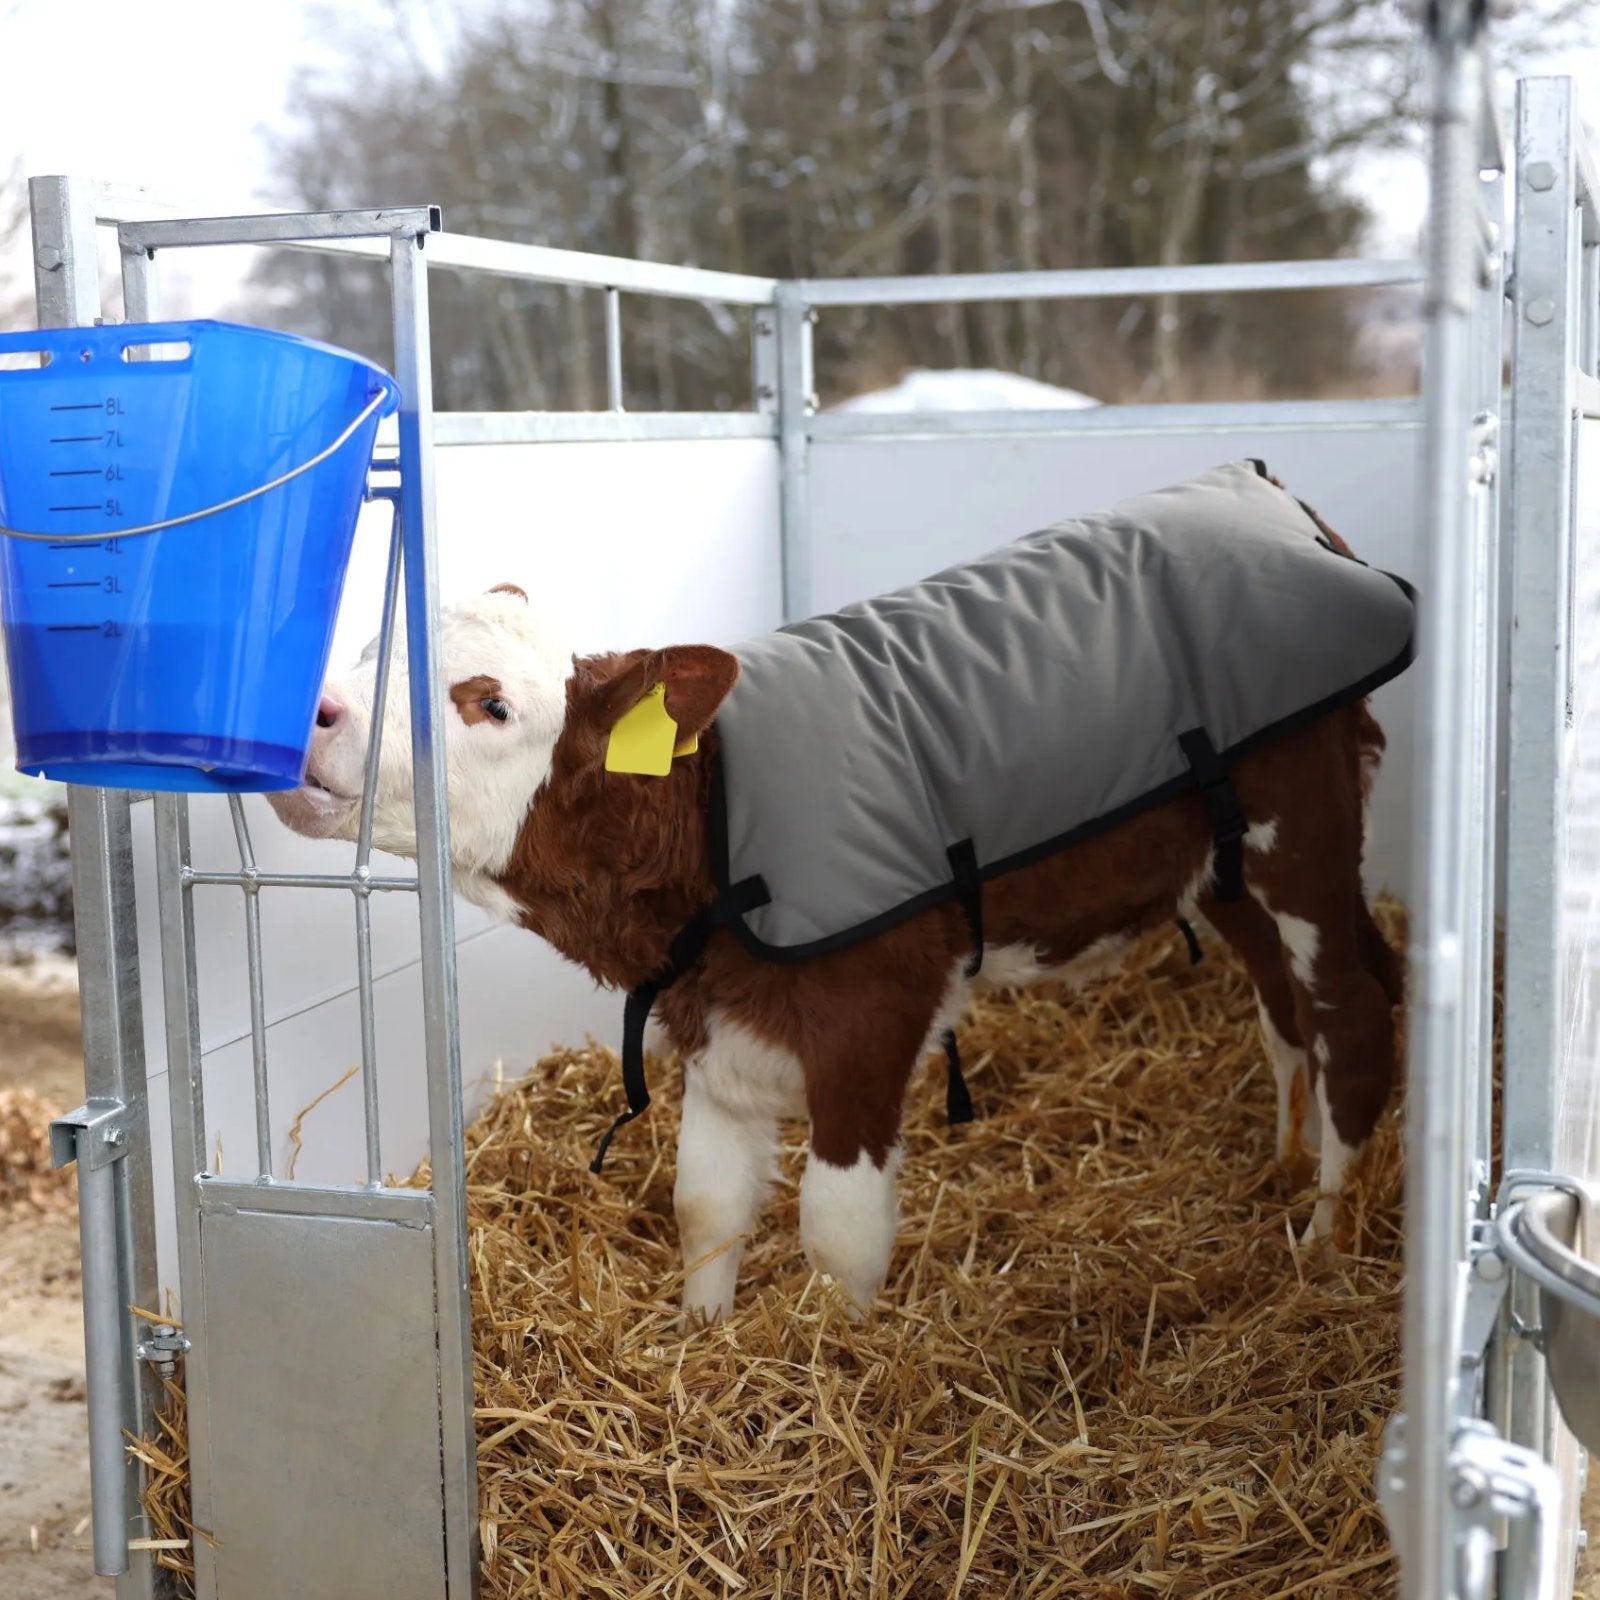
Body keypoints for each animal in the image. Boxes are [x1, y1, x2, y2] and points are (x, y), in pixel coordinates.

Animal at [269, 501, 1405, 1323]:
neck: (715, 817)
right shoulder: (711, 1018)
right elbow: (706, 1204)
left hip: (1300, 829)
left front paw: (838, 1361)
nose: (311, 712)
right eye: (366, 650)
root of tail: (1285, 515)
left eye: (490, 702)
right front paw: (704, 1344)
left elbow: (839, 1228)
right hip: (1224, 869)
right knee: (1284, 1013)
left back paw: (1323, 1242)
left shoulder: (872, 1008)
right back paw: (1281, 1168)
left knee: (1350, 1009)